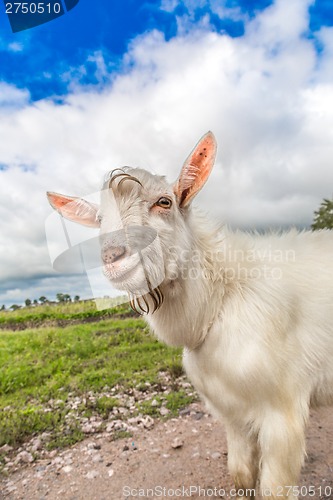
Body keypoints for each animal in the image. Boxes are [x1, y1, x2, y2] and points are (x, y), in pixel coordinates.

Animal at [46, 134, 332, 500]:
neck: (222, 298)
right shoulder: (231, 412)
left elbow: (273, 489)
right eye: (98, 219)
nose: (113, 256)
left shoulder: (284, 415)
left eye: (164, 202)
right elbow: (240, 475)